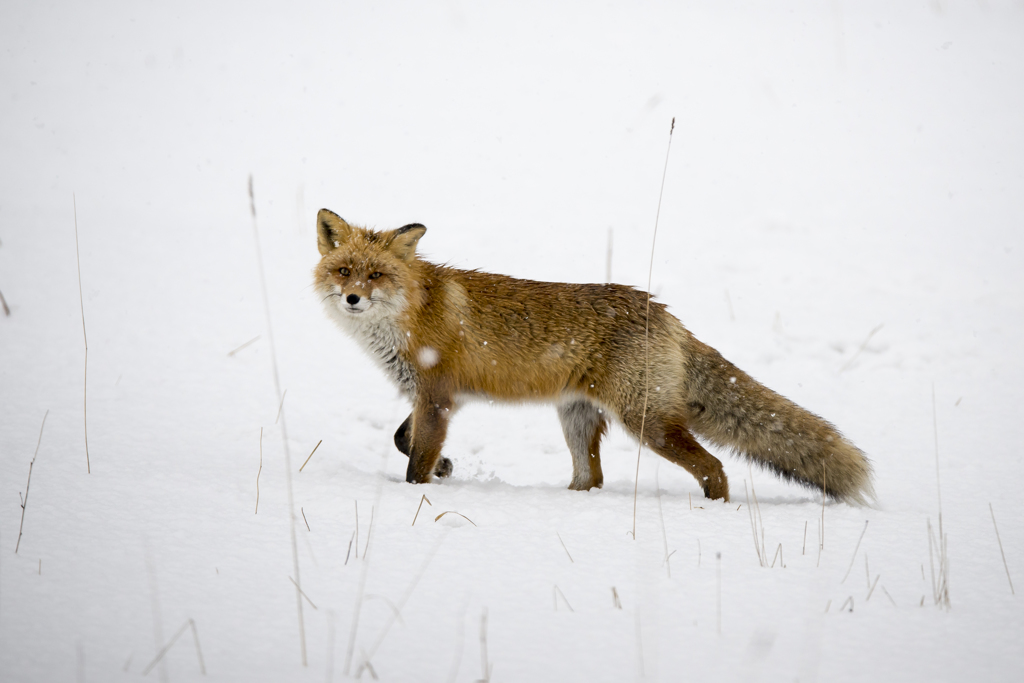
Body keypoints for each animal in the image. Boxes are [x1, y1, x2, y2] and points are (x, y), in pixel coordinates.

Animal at [311, 210, 872, 505]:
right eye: (343, 270)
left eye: (376, 275)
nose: (352, 298)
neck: (409, 312)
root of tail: (662, 311)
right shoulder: (430, 397)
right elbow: (402, 438)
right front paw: (447, 466)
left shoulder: (437, 397)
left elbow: (415, 460)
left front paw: (423, 489)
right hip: (578, 419)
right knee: (592, 479)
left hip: (647, 423)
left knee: (713, 466)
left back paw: (713, 509)